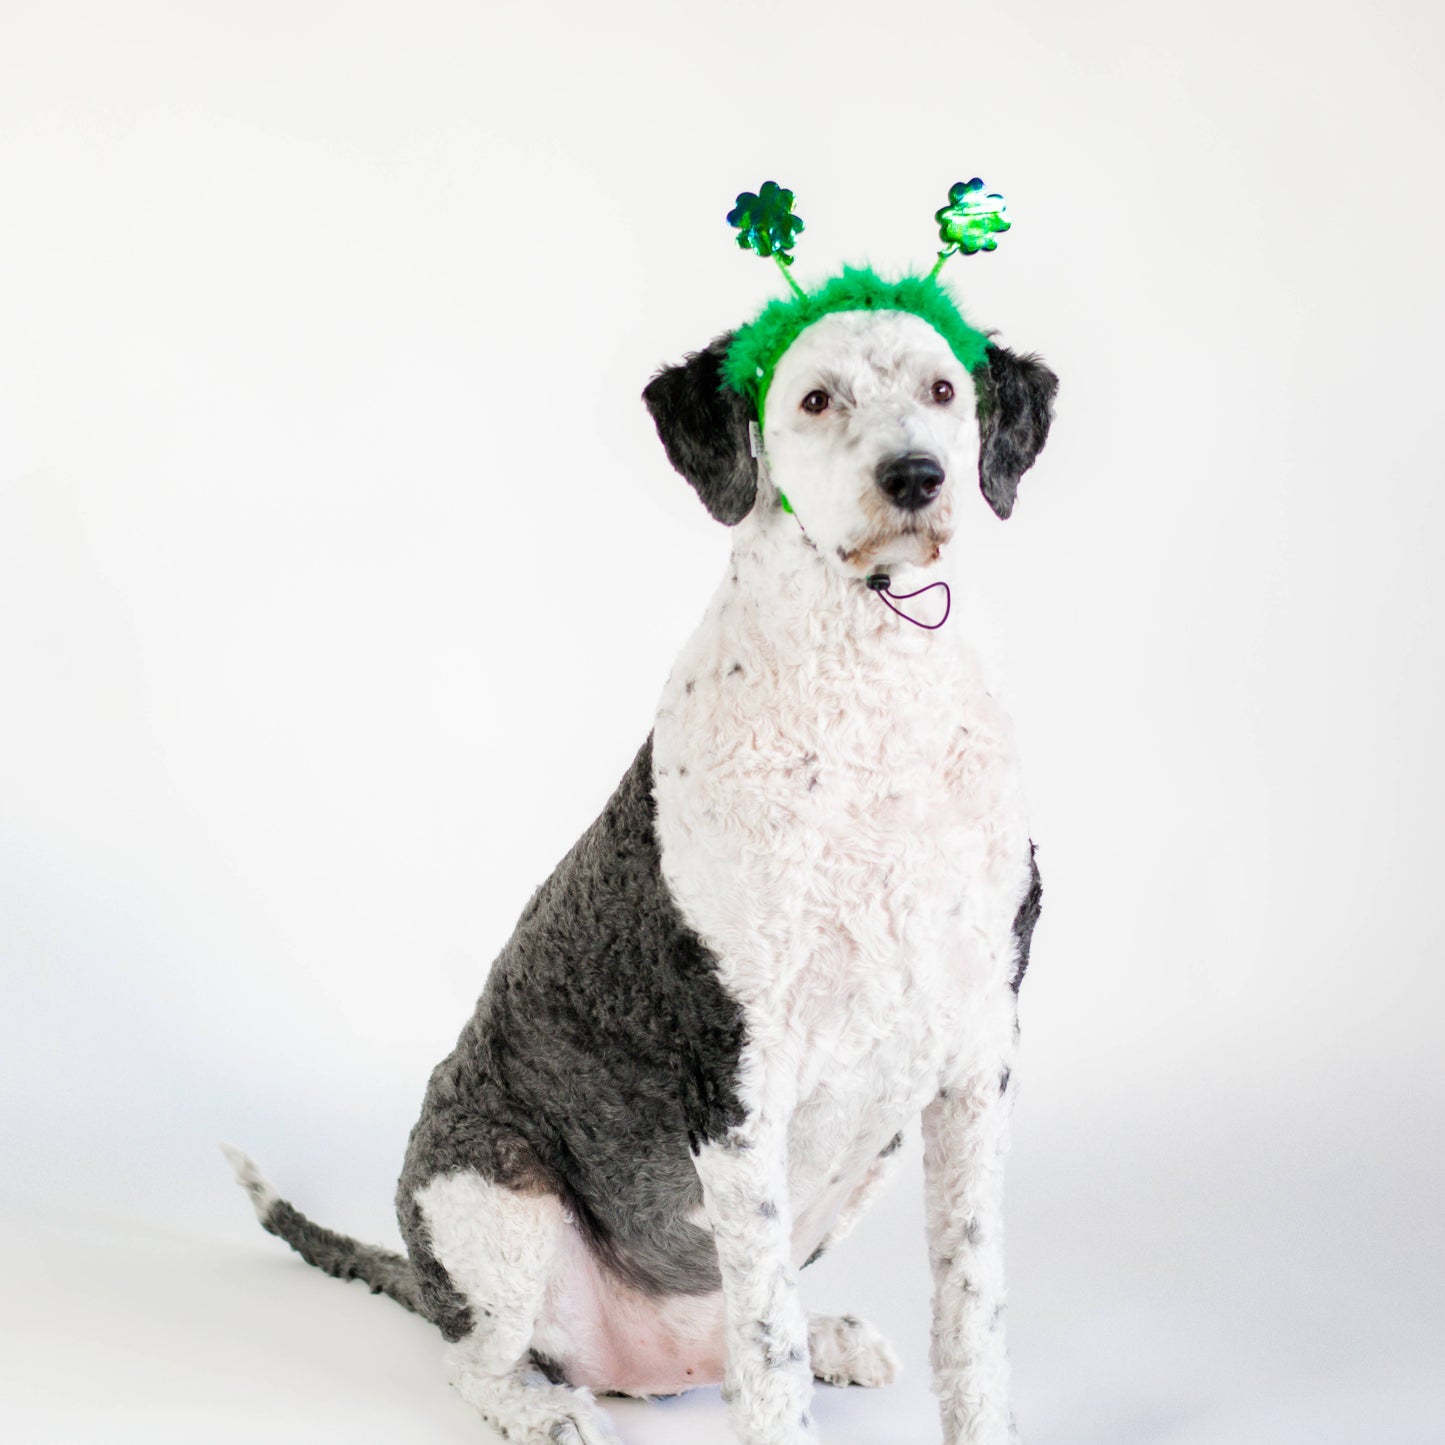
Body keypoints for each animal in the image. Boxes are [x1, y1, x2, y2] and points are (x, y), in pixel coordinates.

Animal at [228, 296, 1063, 1445]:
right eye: (815, 398)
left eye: (943, 389)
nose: (913, 475)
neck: (867, 690)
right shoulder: (736, 1085)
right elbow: (768, 1350)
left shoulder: (977, 1064)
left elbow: (971, 1313)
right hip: (494, 1206)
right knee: (481, 1360)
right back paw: (544, 1408)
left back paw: (828, 1336)